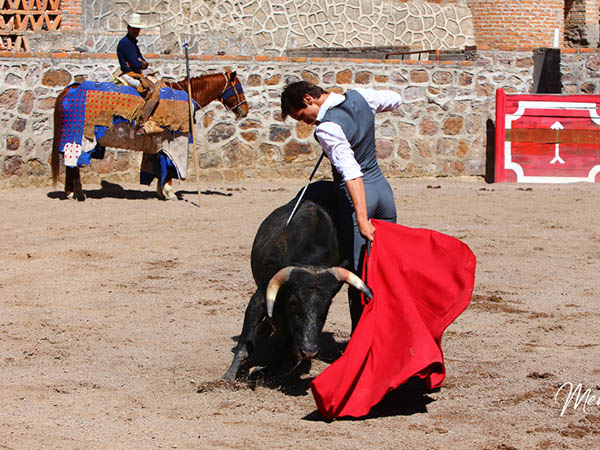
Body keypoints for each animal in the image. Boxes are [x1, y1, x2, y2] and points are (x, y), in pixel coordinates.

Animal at [51, 70, 248, 200]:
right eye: (238, 87)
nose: (245, 110)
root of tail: (69, 90)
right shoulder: (174, 143)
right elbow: (169, 167)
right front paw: (169, 191)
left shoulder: (159, 145)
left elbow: (160, 165)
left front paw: (161, 190)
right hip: (80, 138)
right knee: (73, 164)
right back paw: (79, 193)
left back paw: (70, 191)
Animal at [221, 182, 370, 380]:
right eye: (293, 302)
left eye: (327, 305)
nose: (309, 350)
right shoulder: (261, 295)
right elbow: (246, 341)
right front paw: (228, 377)